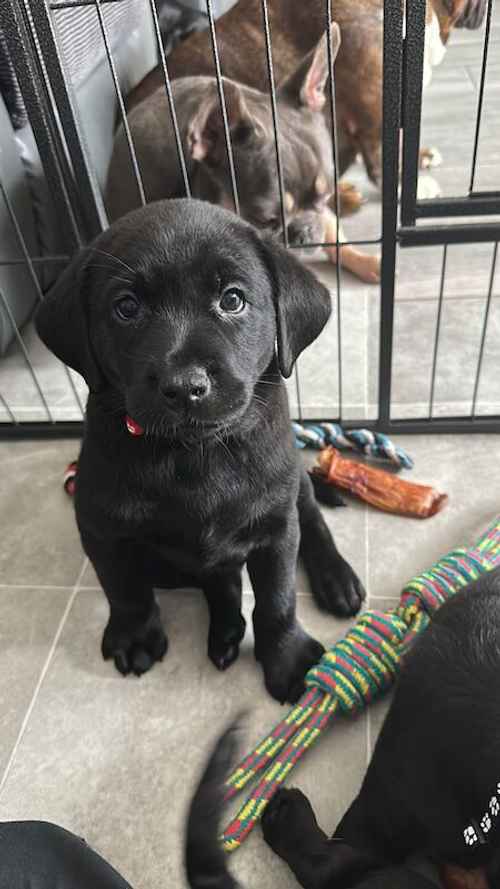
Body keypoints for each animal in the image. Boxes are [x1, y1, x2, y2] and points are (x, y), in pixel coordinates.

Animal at [35, 199, 364, 700]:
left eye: (232, 300)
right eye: (126, 308)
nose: (184, 386)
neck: (193, 454)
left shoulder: (275, 525)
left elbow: (278, 599)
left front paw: (286, 657)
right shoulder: (100, 526)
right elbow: (123, 589)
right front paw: (134, 637)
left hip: (293, 489)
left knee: (311, 520)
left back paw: (336, 578)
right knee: (217, 577)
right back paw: (226, 630)